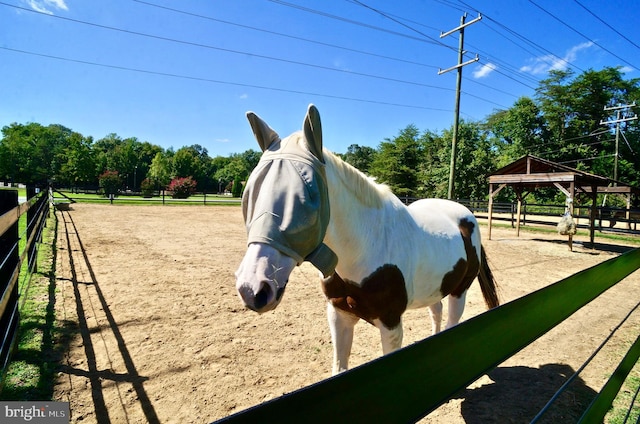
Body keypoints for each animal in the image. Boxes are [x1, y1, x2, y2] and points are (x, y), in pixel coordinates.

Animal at [235, 105, 500, 374]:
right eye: (250, 194)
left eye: (305, 198)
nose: (252, 289)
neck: (365, 247)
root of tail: (466, 216)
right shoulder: (339, 317)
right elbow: (339, 368)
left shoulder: (391, 324)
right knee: (436, 312)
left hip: (459, 291)